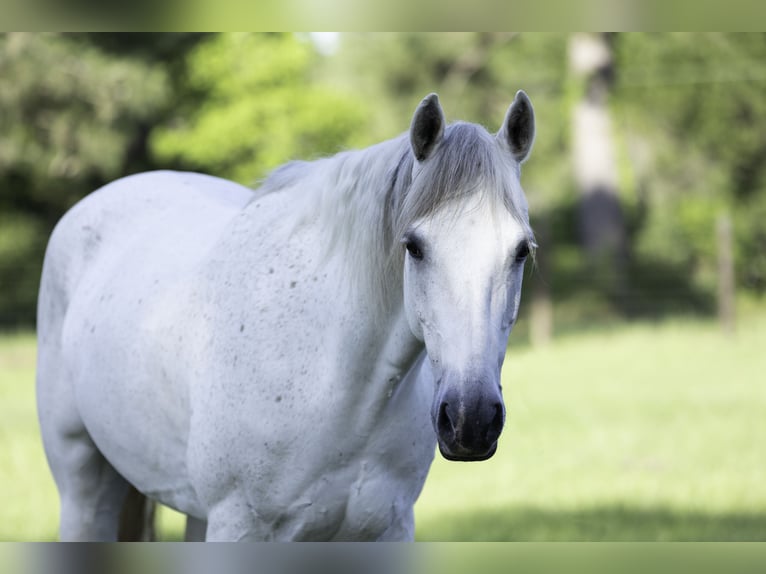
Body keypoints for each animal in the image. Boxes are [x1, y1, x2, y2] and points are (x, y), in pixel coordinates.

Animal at [37, 92, 540, 544]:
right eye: (414, 246)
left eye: (520, 250)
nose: (471, 421)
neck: (338, 387)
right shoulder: (238, 526)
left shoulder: (388, 529)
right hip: (84, 488)